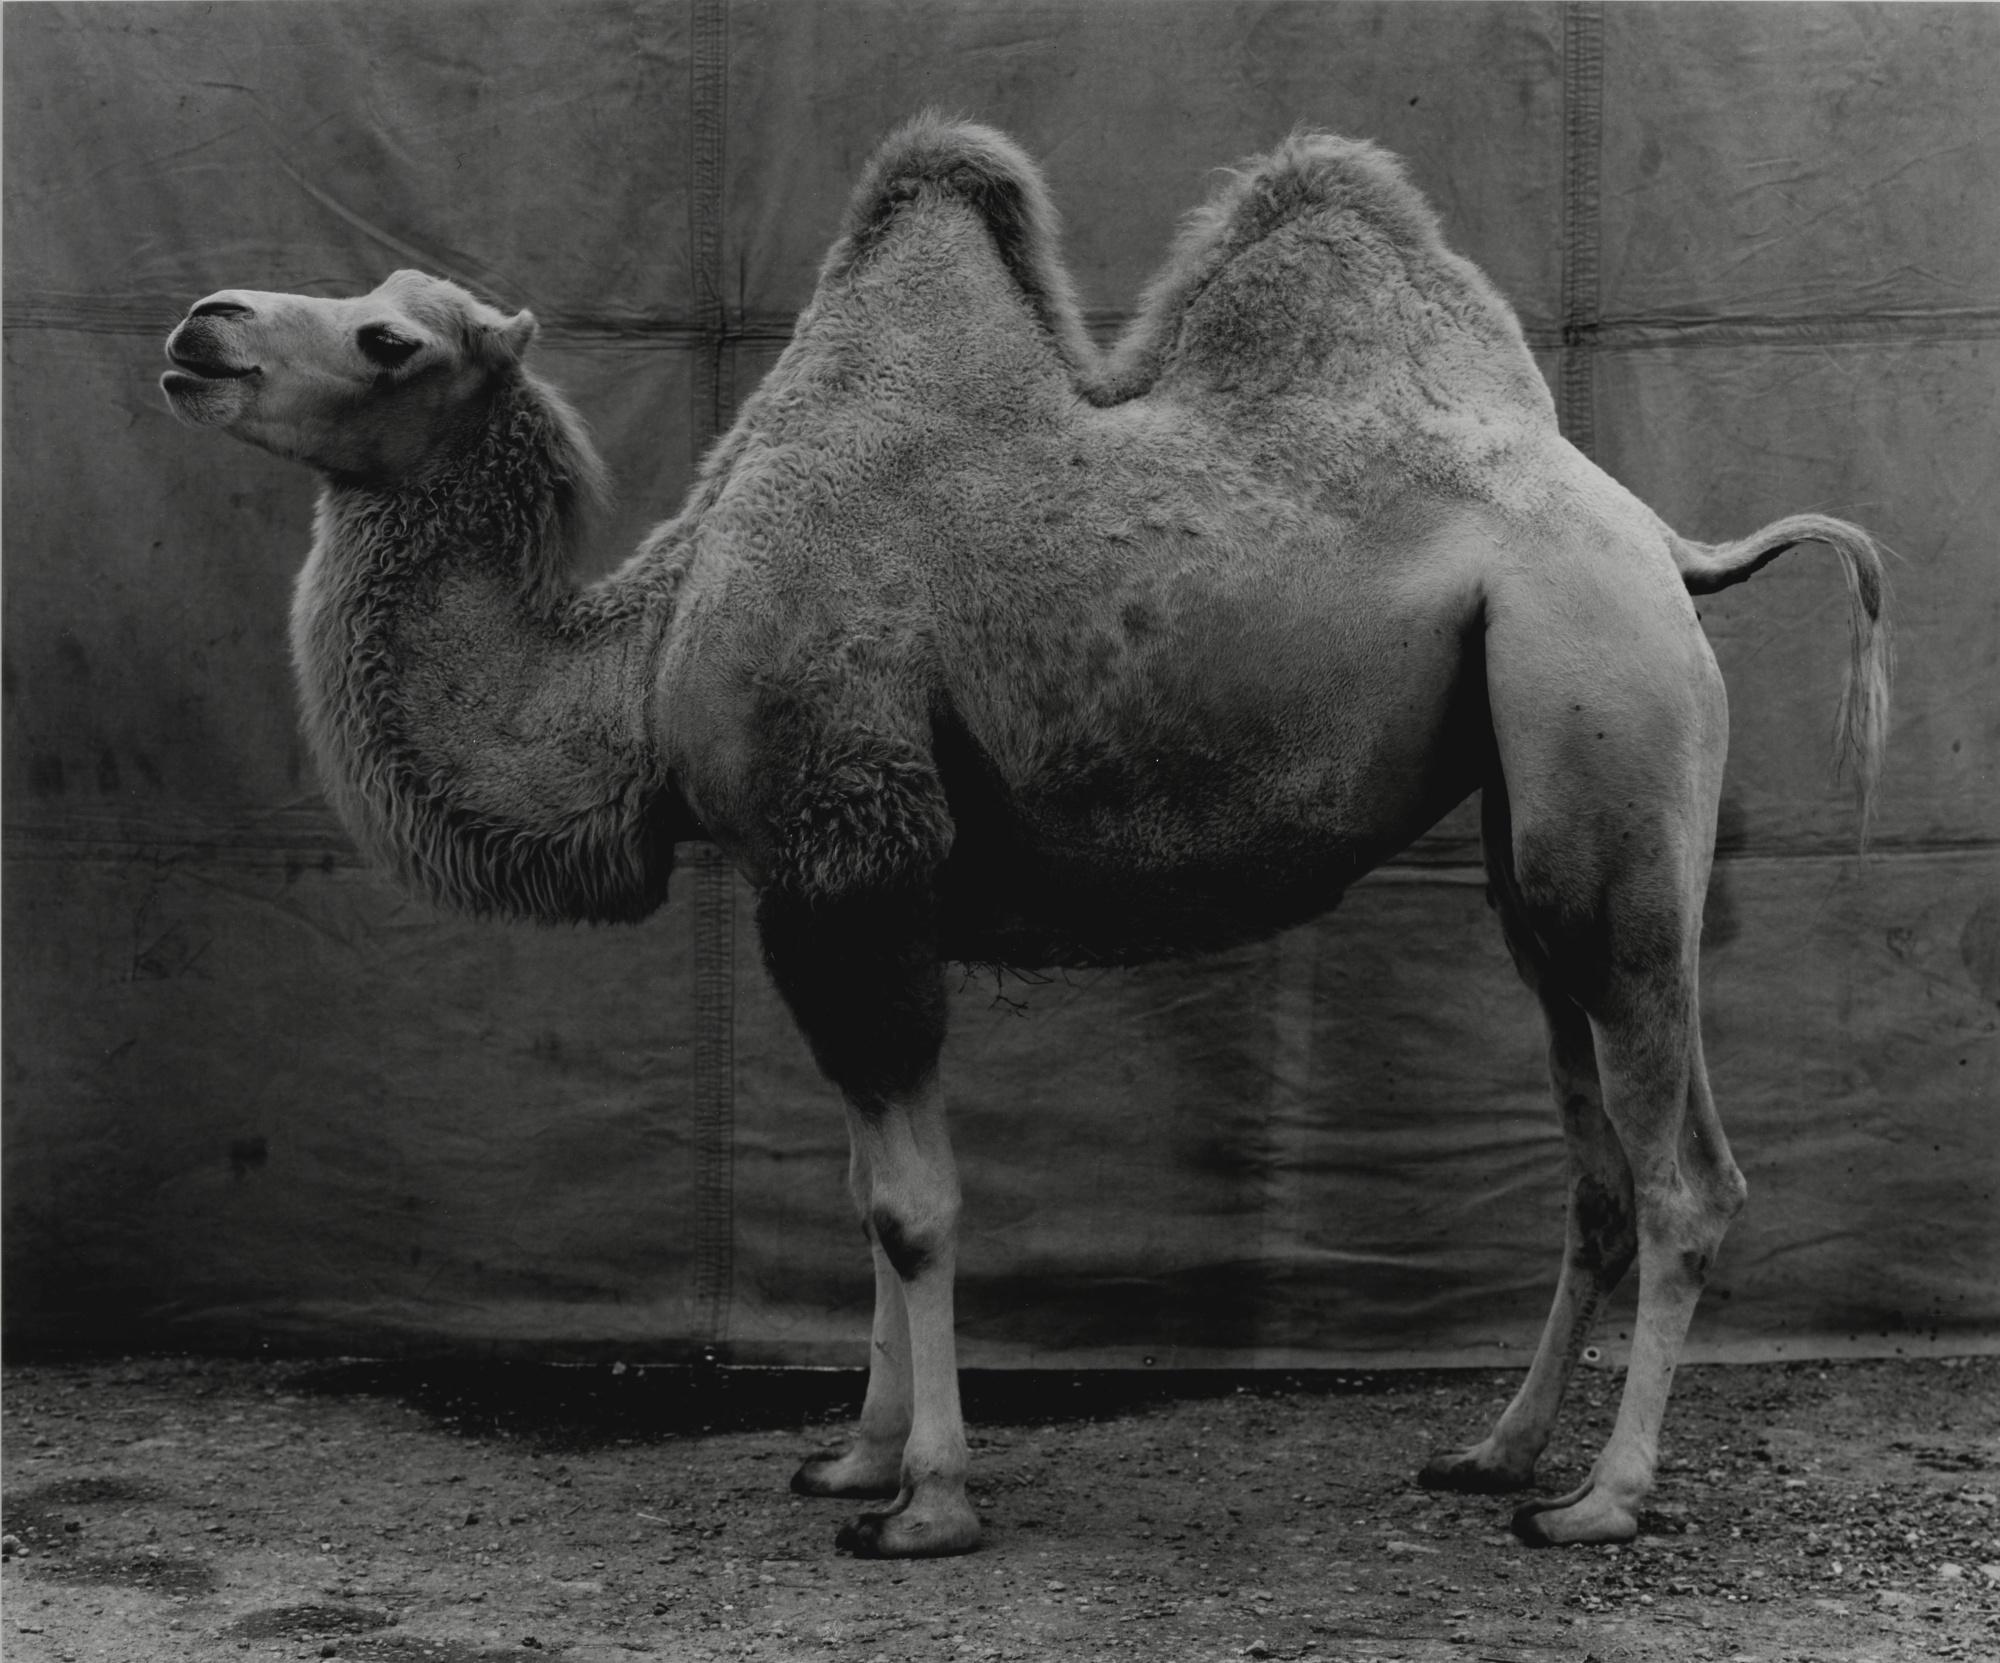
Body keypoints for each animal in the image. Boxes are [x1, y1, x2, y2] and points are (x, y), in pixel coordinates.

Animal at [162, 116, 1890, 1560]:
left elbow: (911, 1204)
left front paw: (924, 1500)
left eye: (388, 336)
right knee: (1591, 1148)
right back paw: (1495, 1450)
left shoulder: (848, 854)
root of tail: (1666, 540)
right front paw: (853, 1455)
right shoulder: (840, 889)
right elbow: (865, 1188)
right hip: (1532, 814)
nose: (200, 328)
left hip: (1611, 748)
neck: (644, 661)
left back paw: (1605, 1495)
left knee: (1685, 1169)